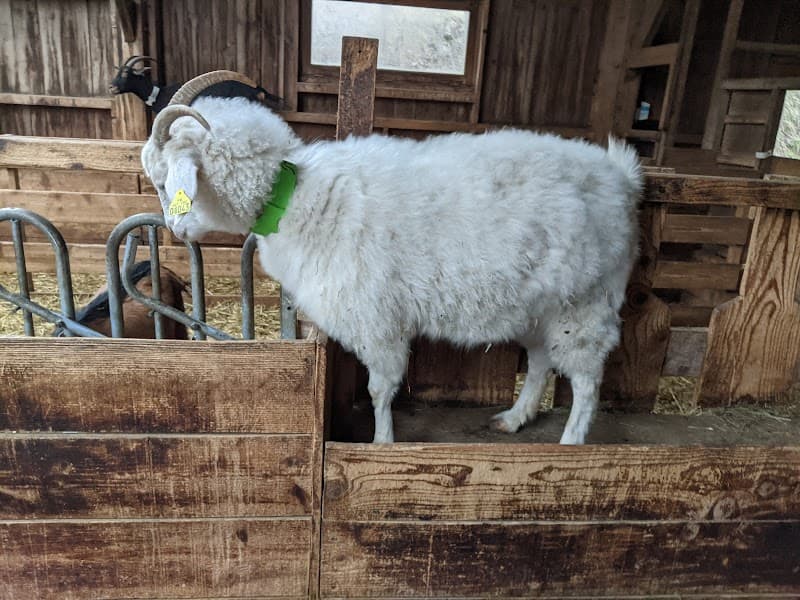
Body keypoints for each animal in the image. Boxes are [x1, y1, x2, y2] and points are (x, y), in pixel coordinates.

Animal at [141, 73, 642, 444]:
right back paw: (515, 418)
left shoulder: (376, 318)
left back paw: (571, 443)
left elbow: (379, 389)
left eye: (165, 181)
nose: (175, 230)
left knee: (586, 381)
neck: (297, 197)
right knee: (539, 362)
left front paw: (381, 442)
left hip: (585, 301)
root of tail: (620, 177)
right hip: (543, 307)